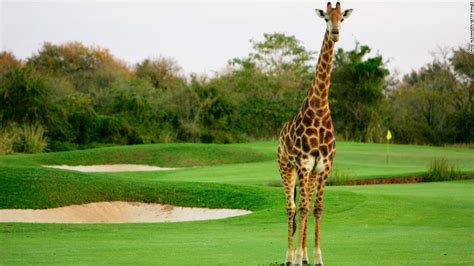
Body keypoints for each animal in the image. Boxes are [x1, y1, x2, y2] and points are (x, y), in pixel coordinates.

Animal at [278, 1, 352, 264]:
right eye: (326, 18)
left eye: (342, 18)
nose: (336, 33)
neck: (319, 110)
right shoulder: (303, 164)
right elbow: (301, 208)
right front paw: (297, 257)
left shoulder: (324, 166)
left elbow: (317, 208)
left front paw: (318, 257)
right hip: (286, 167)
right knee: (291, 207)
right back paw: (290, 256)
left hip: (308, 174)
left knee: (306, 205)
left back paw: (304, 255)